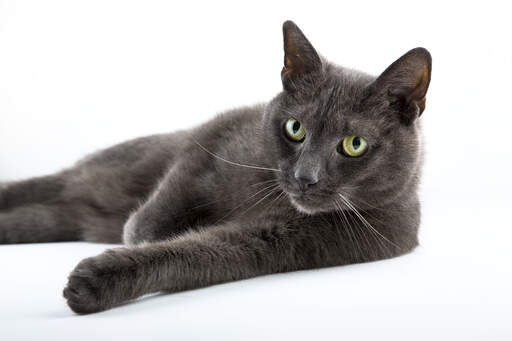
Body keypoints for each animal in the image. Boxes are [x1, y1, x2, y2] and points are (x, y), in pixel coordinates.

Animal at [1, 21, 432, 314]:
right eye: (295, 128)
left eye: (354, 145)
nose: (304, 177)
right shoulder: (215, 136)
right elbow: (165, 200)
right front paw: (143, 230)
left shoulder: (289, 239)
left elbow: (201, 252)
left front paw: (98, 280)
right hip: (109, 171)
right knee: (48, 185)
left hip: (63, 216)